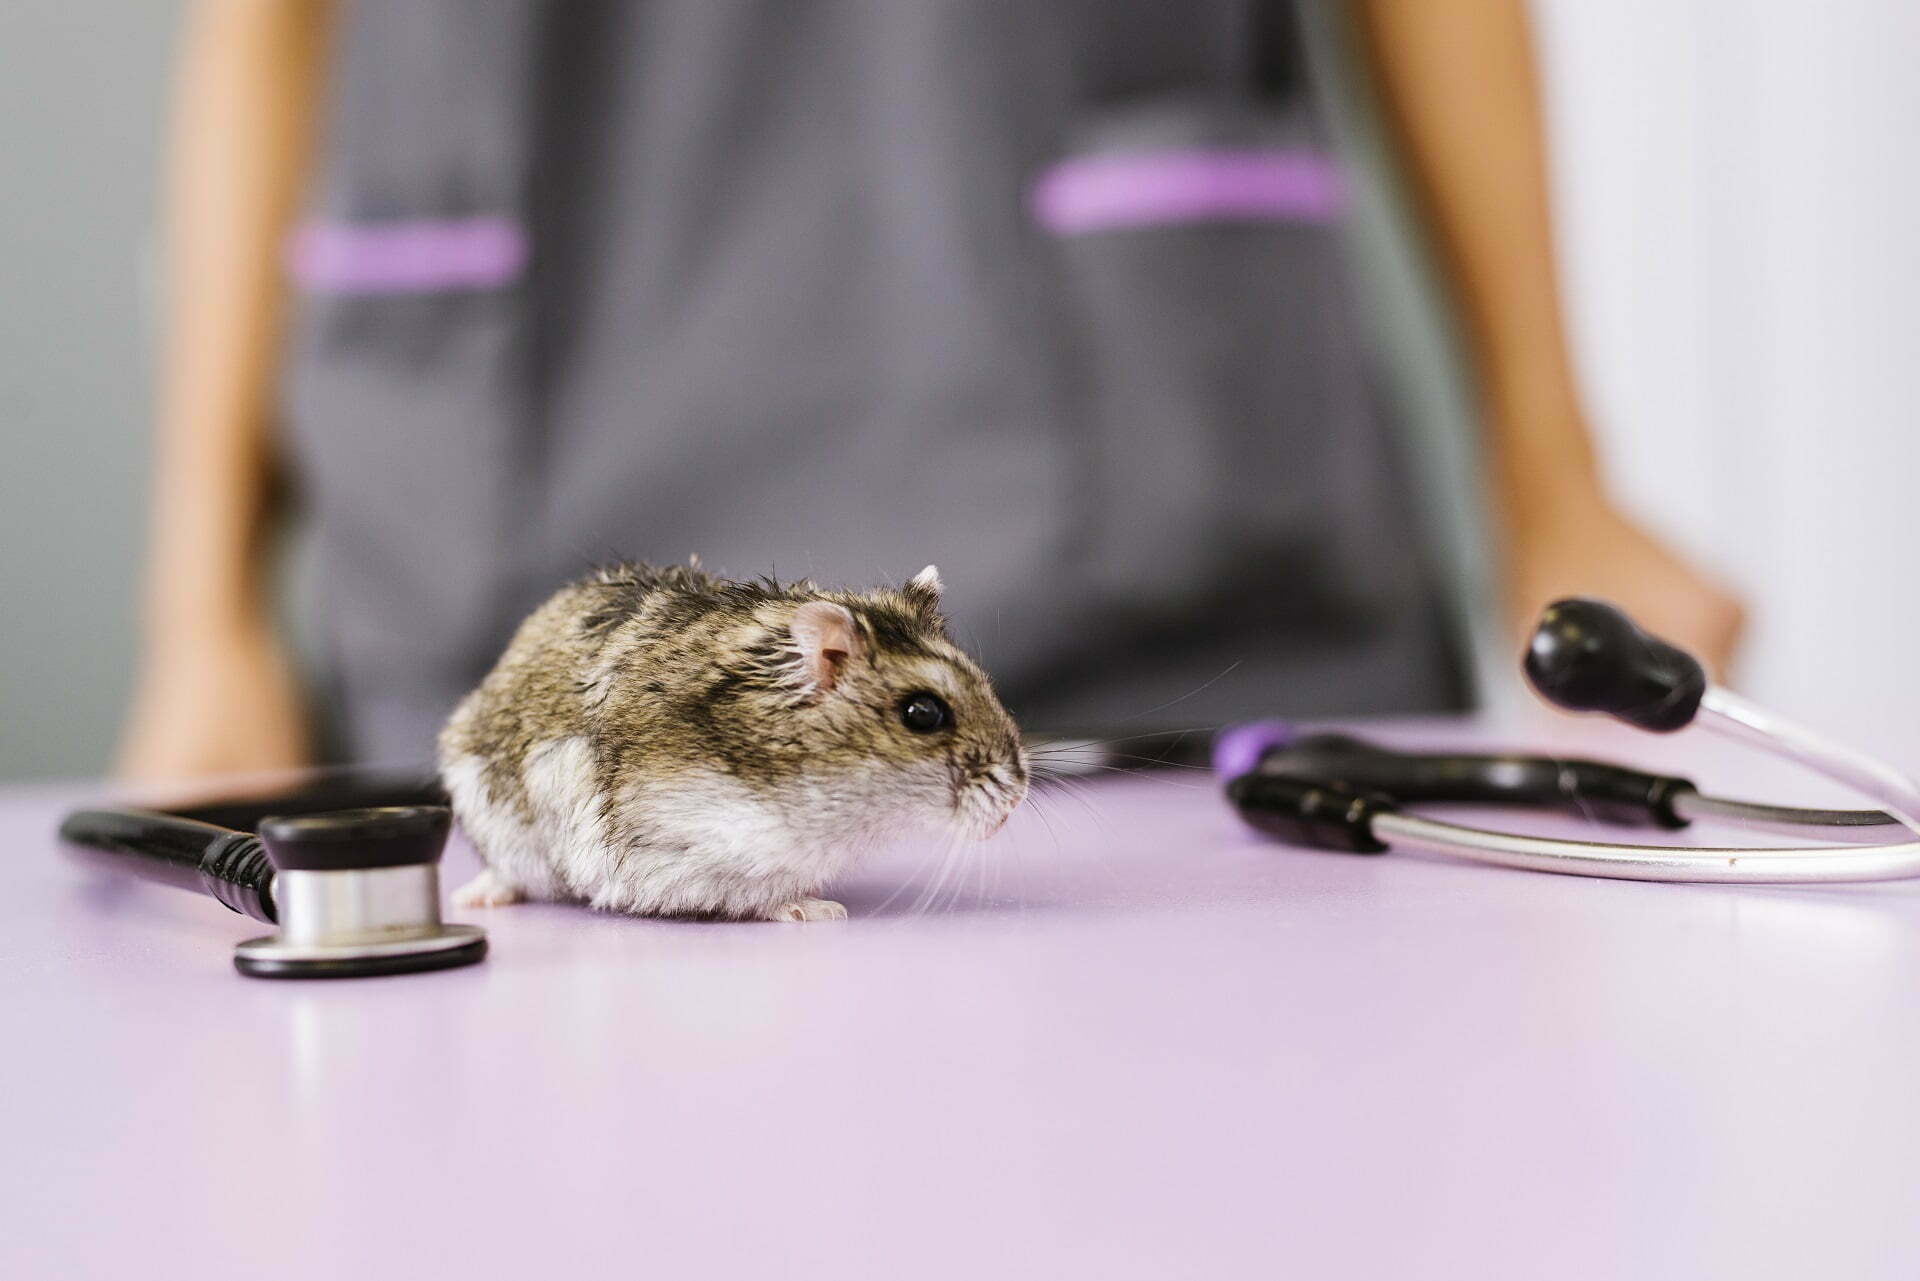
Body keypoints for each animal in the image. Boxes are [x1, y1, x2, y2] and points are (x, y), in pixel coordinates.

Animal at [439, 561, 1029, 921]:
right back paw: (473, 899)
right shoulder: (694, 844)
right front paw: (819, 911)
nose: (1017, 797)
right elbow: (757, 895)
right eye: (922, 714)